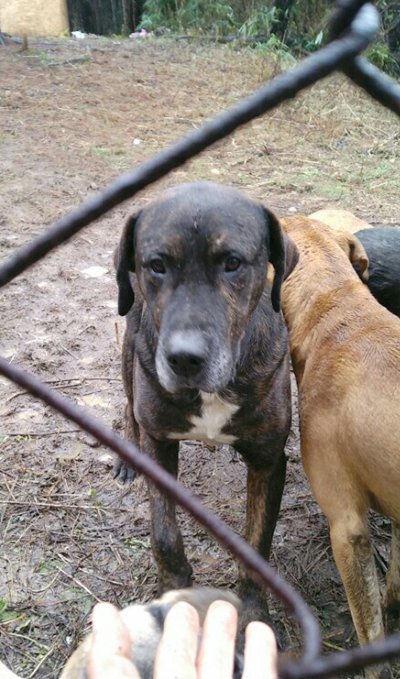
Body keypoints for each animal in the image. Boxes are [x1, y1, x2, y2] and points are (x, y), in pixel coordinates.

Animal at [114, 181, 298, 629]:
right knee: (129, 406)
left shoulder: (269, 460)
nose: (184, 358)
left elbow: (257, 542)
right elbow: (164, 534)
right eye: (157, 264)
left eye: (232, 263)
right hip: (130, 352)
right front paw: (174, 591)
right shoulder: (159, 442)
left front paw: (252, 615)